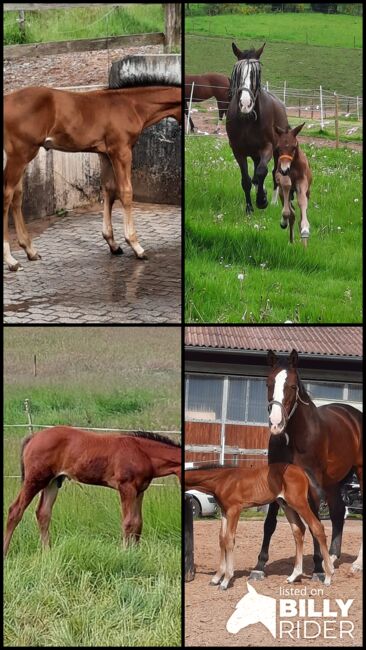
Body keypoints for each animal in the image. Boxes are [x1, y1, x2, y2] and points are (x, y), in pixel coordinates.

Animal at [2, 64, 180, 270]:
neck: (130, 105)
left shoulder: (105, 154)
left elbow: (109, 190)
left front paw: (113, 243)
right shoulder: (122, 151)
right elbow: (126, 192)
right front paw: (136, 246)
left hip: (22, 157)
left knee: (17, 196)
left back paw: (30, 250)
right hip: (20, 155)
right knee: (7, 195)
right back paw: (11, 259)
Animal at [4, 428, 182, 556]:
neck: (142, 453)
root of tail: (33, 437)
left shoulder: (140, 491)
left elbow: (138, 523)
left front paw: (137, 554)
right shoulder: (126, 488)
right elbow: (128, 522)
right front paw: (125, 554)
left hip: (53, 482)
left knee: (43, 513)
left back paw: (48, 553)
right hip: (35, 480)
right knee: (15, 510)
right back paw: (6, 552)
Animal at [184, 460, 334, 588]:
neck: (222, 479)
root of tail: (302, 471)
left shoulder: (234, 510)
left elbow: (229, 540)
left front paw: (226, 580)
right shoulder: (224, 511)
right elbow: (222, 539)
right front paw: (216, 578)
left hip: (299, 502)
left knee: (317, 527)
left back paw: (328, 576)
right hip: (286, 504)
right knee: (299, 530)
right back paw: (293, 576)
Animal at [226, 43, 288, 215]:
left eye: (257, 72)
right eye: (237, 72)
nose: (245, 104)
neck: (247, 119)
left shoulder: (267, 147)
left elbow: (261, 172)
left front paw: (262, 200)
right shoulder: (238, 151)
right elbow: (247, 180)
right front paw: (249, 208)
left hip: (277, 151)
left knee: (274, 173)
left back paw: (273, 200)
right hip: (253, 153)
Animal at [252, 346, 364, 580]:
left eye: (293, 386)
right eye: (268, 384)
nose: (276, 424)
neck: (294, 437)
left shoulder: (312, 482)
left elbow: (315, 522)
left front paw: (318, 569)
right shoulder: (278, 477)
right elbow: (270, 523)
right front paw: (259, 566)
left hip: (359, 471)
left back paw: (356, 564)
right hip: (332, 482)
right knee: (338, 512)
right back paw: (332, 558)